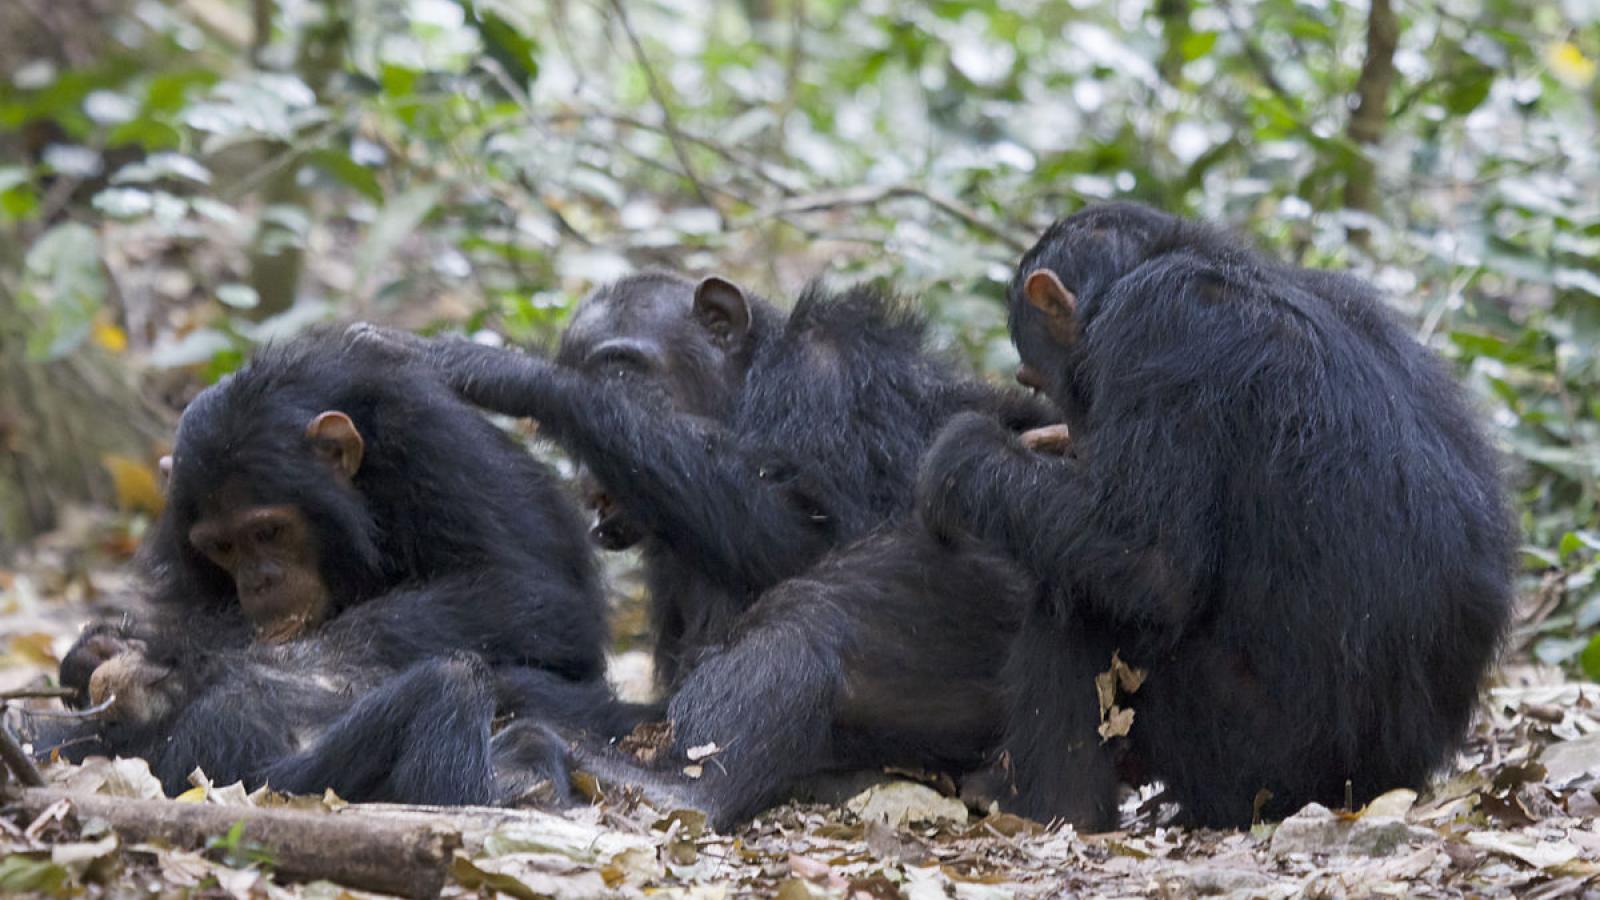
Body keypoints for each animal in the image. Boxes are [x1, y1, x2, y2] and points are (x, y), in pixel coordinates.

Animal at [46, 333, 620, 800]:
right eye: (222, 547)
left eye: (268, 532)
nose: (260, 581)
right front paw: (98, 653)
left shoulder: (436, 448)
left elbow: (533, 594)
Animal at [358, 275, 1062, 826]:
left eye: (620, 371)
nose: (587, 481)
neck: (747, 389)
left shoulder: (836, 380)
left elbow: (828, 527)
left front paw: (503, 371)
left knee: (822, 608)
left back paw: (670, 788)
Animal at [915, 203, 1510, 826]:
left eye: (1033, 377)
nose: (1075, 426)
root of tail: (1385, 783)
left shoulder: (1154, 329)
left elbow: (1149, 561)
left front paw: (963, 454)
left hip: (1255, 766)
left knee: (1078, 598)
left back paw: (1041, 804)